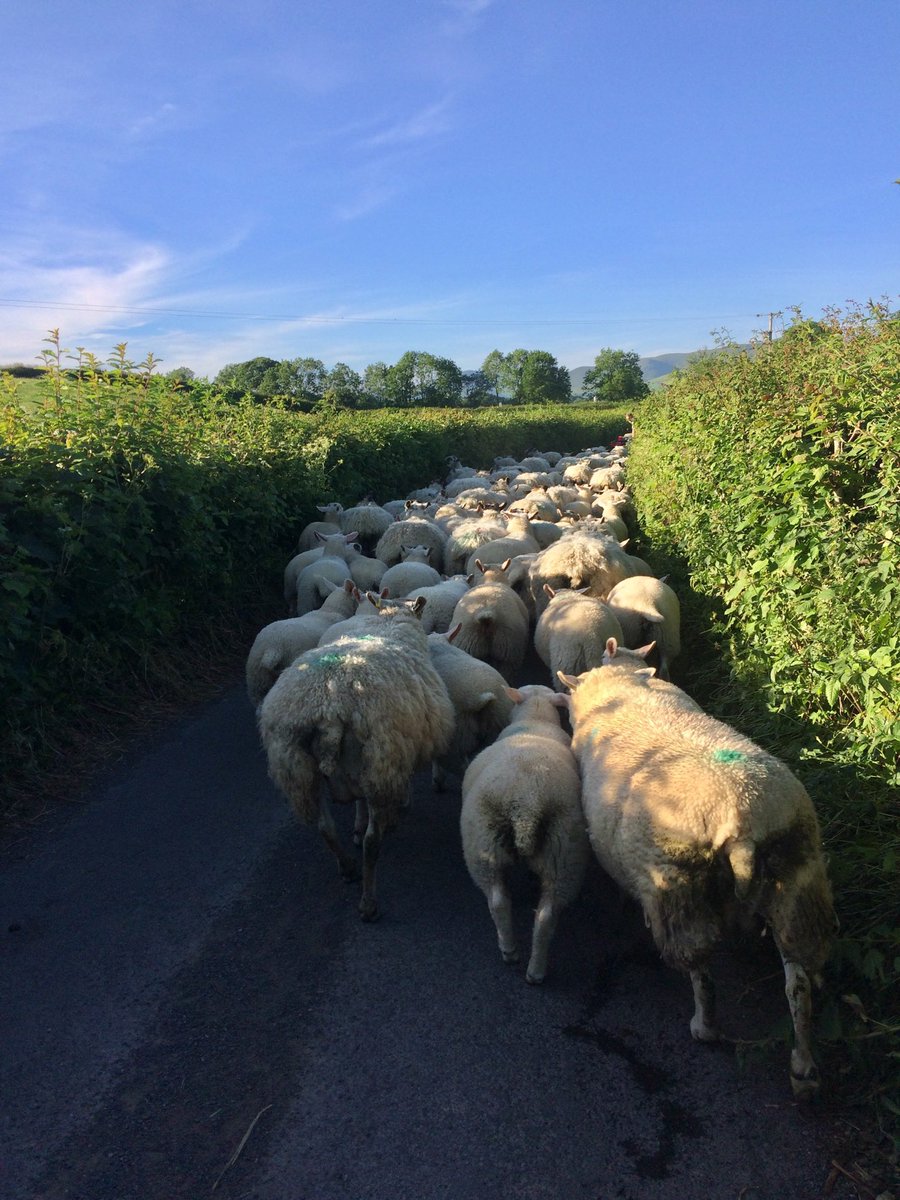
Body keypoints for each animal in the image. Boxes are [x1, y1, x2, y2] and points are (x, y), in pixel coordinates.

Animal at [258, 604, 455, 921]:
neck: (390, 625)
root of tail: (327, 707)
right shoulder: (396, 753)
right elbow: (401, 787)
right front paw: (399, 808)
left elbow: (357, 803)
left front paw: (357, 825)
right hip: (378, 758)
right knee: (371, 844)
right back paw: (368, 902)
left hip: (299, 770)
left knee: (325, 827)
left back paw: (348, 867)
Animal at [426, 630, 515, 789]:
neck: (438, 647)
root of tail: (480, 698)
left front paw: (437, 778)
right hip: (500, 722)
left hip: (455, 740)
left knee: (461, 768)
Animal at [460, 684, 589, 984]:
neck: (536, 720)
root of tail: (527, 803)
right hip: (562, 850)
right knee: (545, 915)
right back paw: (534, 970)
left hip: (484, 845)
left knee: (498, 901)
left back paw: (511, 952)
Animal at [558, 639, 835, 1098]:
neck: (625, 686)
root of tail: (740, 821)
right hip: (798, 876)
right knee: (796, 979)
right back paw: (804, 1065)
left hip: (677, 888)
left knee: (701, 972)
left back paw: (704, 1026)